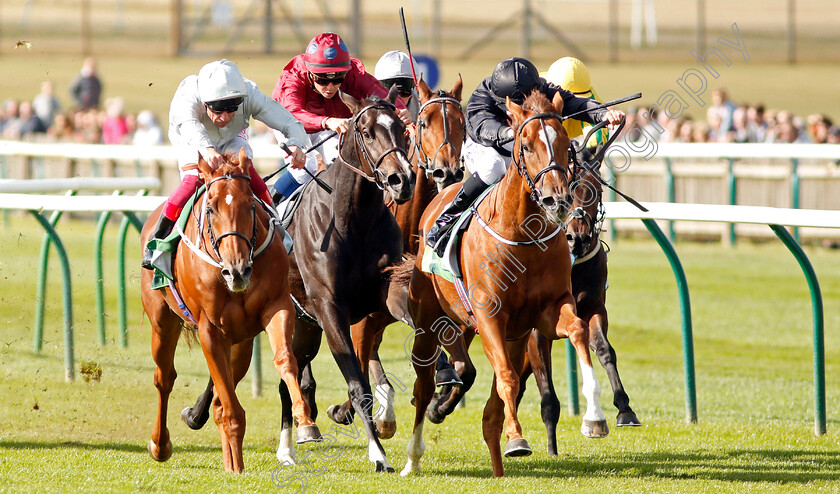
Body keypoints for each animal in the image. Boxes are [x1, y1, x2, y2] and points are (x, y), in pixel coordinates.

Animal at [141, 149, 316, 472]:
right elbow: (230, 407)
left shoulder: (277, 307)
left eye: (251, 206)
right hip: (163, 321)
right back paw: (160, 444)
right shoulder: (210, 330)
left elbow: (286, 360)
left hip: (241, 343)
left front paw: (305, 421)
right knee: (164, 377)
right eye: (210, 208)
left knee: (219, 401)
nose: (238, 271)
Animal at [322, 74, 470, 436]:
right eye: (423, 122)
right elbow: (360, 363)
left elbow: (458, 366)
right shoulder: (364, 316)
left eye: (462, 124)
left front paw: (438, 404)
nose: (447, 172)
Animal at [402, 90, 608, 476]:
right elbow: (507, 379)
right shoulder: (489, 317)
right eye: (525, 145)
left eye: (564, 144)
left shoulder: (548, 313)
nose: (557, 199)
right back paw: (413, 457)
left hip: (495, 333)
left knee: (486, 403)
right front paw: (517, 438)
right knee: (423, 386)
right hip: (429, 321)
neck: (522, 235)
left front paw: (595, 417)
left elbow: (577, 332)